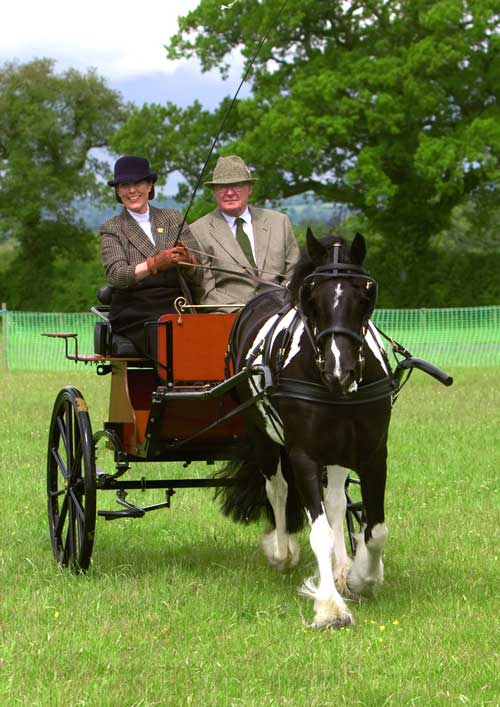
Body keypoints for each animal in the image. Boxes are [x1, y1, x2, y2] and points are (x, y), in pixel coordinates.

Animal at [219, 230, 398, 628]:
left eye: (366, 292)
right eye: (311, 296)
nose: (339, 371)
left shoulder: (373, 452)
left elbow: (375, 529)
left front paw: (360, 577)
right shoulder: (303, 455)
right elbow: (319, 531)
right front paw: (330, 607)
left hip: (338, 450)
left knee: (335, 502)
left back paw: (341, 564)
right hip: (263, 436)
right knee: (277, 489)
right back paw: (281, 551)